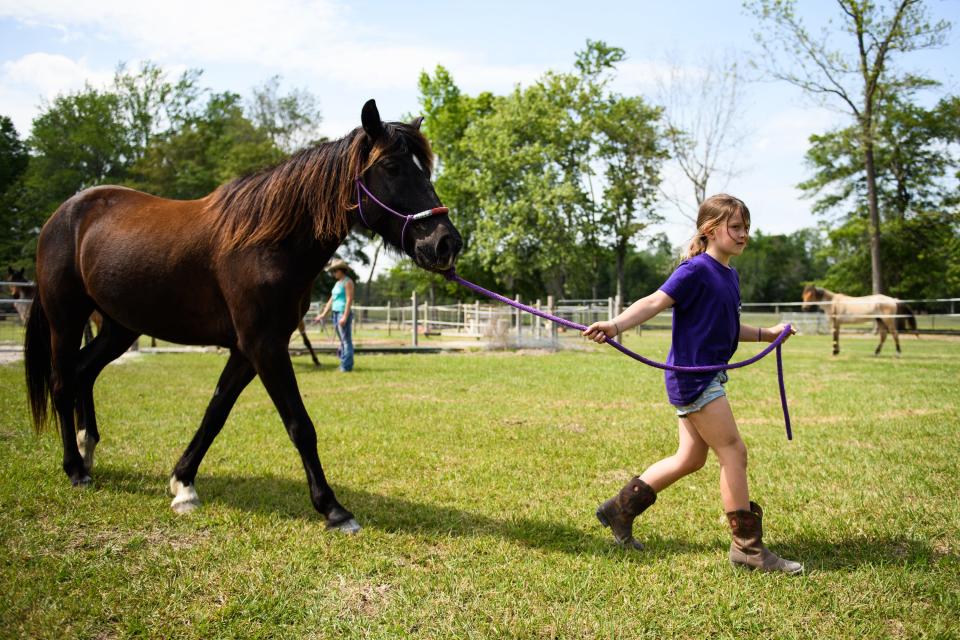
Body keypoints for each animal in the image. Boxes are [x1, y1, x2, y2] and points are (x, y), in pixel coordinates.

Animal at [25, 99, 462, 528]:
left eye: (424, 168)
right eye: (391, 167)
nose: (447, 243)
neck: (265, 241)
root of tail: (61, 216)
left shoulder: (248, 350)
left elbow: (215, 413)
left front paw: (183, 484)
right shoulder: (264, 347)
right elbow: (300, 425)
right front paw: (333, 508)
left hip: (120, 327)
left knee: (84, 373)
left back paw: (87, 451)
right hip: (66, 320)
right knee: (62, 382)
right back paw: (75, 469)